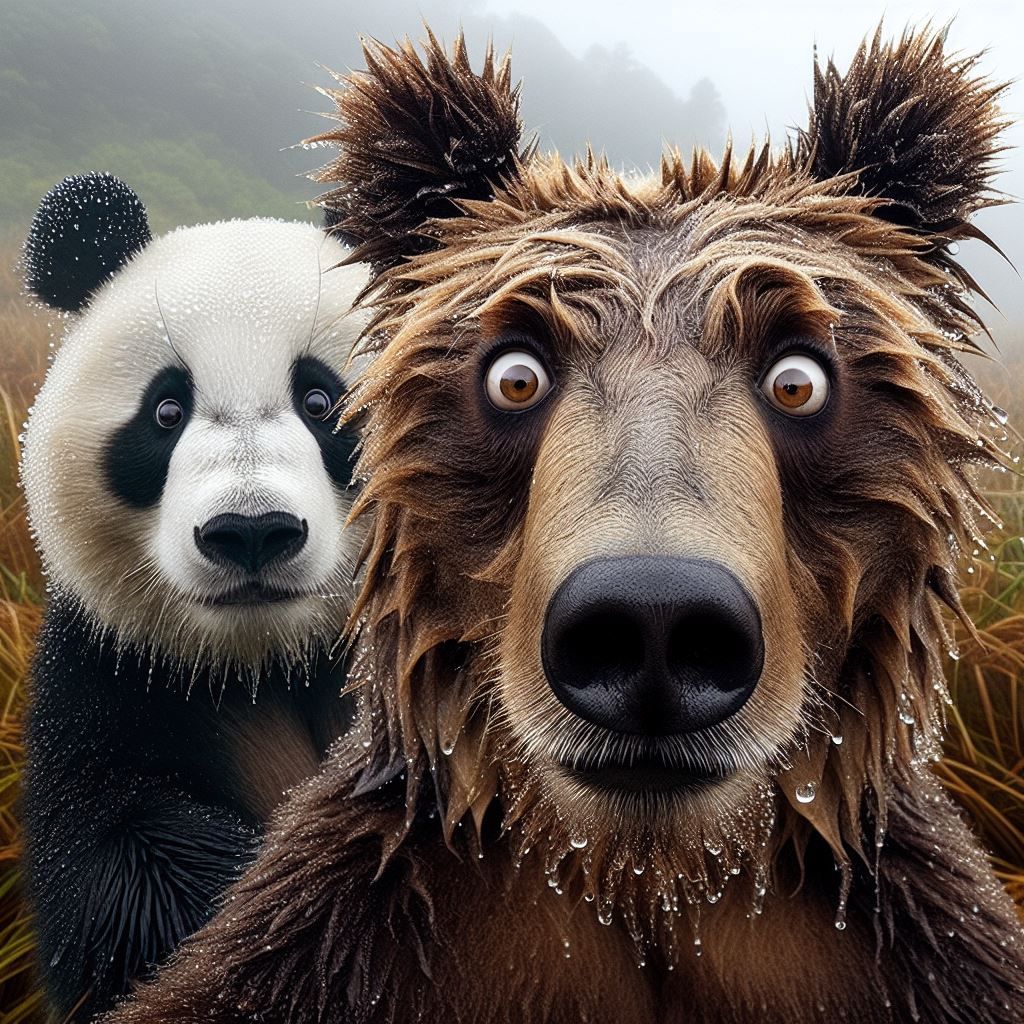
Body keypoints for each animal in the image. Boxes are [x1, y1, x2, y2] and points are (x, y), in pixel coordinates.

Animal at [101, 26, 1024, 1024]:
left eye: (798, 378)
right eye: (515, 373)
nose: (654, 621)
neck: (648, 879)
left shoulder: (908, 948)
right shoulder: (338, 941)